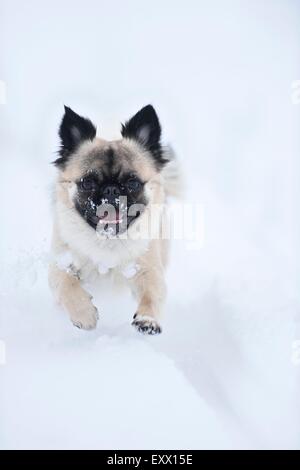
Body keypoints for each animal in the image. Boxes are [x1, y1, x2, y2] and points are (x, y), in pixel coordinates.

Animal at [48, 105, 179, 334]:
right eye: (88, 183)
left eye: (133, 183)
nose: (111, 189)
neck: (107, 241)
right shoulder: (60, 265)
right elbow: (67, 284)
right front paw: (84, 313)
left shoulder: (149, 269)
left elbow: (151, 294)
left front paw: (147, 319)